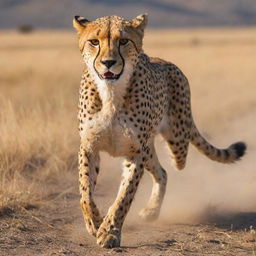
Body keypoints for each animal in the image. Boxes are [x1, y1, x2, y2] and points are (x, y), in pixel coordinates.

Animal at [72, 14, 246, 248]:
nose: (108, 62)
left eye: (124, 41)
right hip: (151, 149)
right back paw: (151, 210)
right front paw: (94, 222)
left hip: (176, 141)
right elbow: (85, 191)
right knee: (161, 172)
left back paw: (151, 211)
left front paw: (110, 231)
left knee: (169, 168)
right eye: (94, 42)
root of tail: (167, 62)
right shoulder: (89, 147)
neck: (111, 92)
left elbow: (124, 197)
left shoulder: (136, 152)